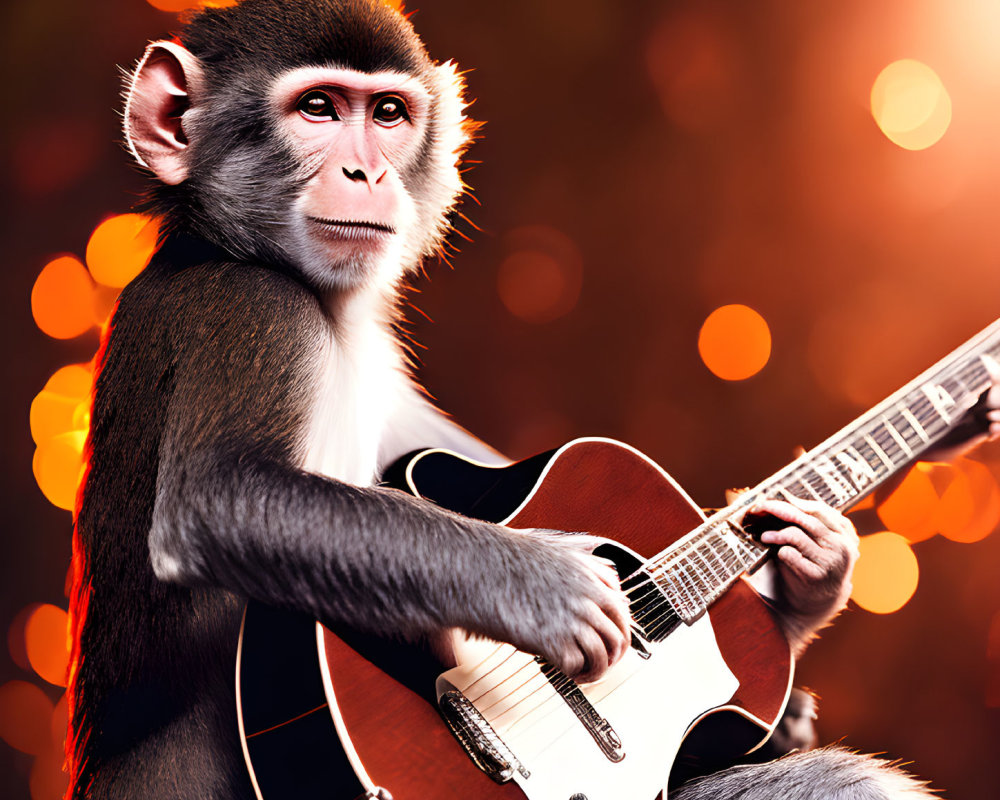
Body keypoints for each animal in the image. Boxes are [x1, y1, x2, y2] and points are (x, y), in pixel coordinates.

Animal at [68, 1, 992, 800]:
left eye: (389, 114)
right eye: (319, 110)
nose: (365, 170)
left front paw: (812, 571)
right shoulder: (246, 309)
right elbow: (219, 499)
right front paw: (560, 592)